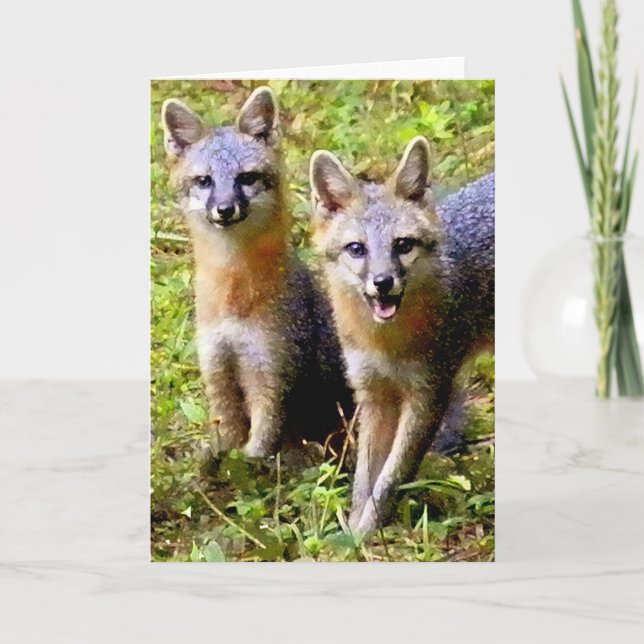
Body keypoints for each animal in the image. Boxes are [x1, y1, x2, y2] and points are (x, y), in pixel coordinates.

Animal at [161, 86, 351, 458]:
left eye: (246, 178)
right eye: (204, 181)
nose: (225, 209)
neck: (232, 291)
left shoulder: (270, 374)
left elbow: (258, 449)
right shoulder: (217, 371)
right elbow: (226, 442)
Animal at [310, 137, 494, 534]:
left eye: (403, 245)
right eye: (357, 249)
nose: (383, 282)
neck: (386, 344)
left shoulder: (429, 395)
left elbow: (390, 479)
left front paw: (366, 534)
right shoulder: (373, 394)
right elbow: (364, 481)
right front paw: (352, 532)